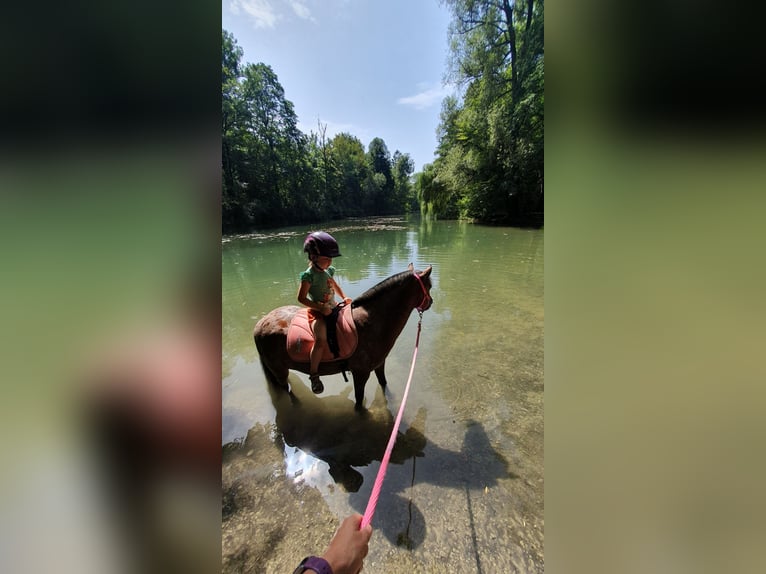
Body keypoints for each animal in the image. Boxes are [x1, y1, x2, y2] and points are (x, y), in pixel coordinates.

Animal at [252, 266, 432, 410]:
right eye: (429, 286)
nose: (430, 302)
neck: (371, 322)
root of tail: (261, 323)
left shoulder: (379, 365)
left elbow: (383, 384)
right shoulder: (360, 373)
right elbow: (359, 401)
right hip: (279, 370)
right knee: (286, 388)